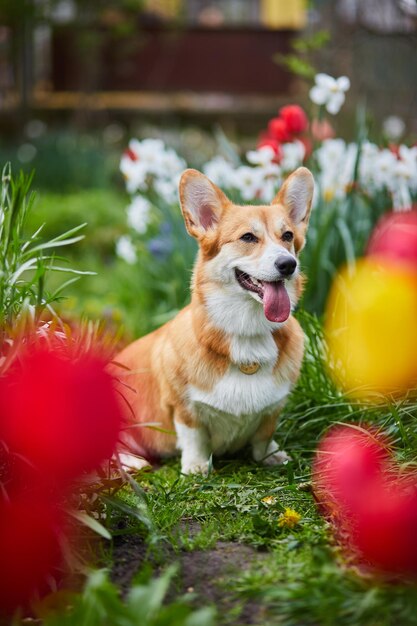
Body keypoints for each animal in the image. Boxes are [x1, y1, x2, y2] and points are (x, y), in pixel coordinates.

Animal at [115, 166, 314, 472]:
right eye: (248, 238)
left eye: (288, 236)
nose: (288, 264)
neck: (247, 332)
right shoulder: (183, 406)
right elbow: (194, 436)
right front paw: (197, 468)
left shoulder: (273, 408)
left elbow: (264, 436)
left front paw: (271, 456)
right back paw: (132, 461)